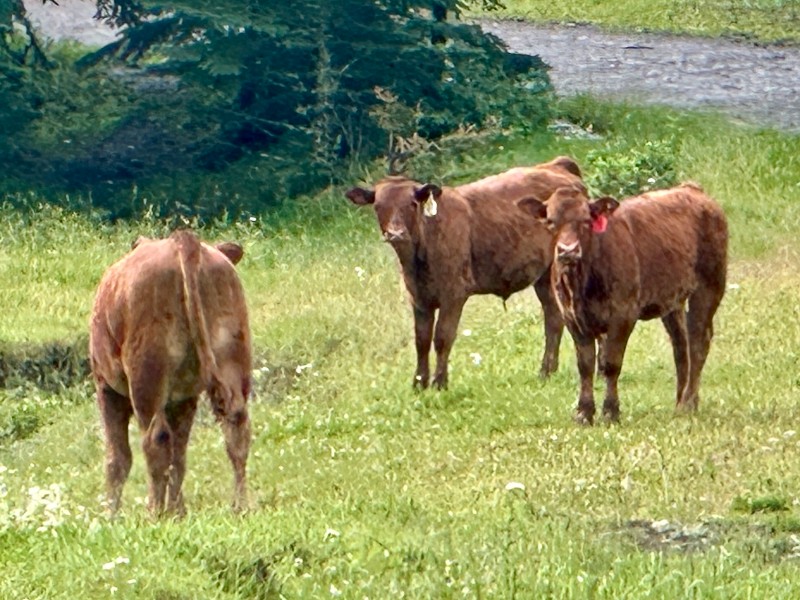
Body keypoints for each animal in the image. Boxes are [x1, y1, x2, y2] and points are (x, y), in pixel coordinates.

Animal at [89, 230, 252, 515]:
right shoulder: (184, 397)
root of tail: (184, 240)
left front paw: (111, 515)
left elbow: (116, 458)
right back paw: (239, 506)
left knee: (155, 439)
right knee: (236, 426)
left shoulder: (105, 387)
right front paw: (178, 511)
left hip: (146, 375)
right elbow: (180, 454)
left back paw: (153, 512)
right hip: (232, 358)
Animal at [345, 156, 584, 389]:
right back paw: (546, 372)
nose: (396, 234)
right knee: (553, 317)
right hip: (543, 277)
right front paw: (419, 383)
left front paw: (439, 383)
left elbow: (442, 337)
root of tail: (556, 166)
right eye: (378, 206)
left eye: (412, 204)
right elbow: (421, 340)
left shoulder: (454, 295)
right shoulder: (419, 298)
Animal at [518, 182, 728, 425]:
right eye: (551, 221)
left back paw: (688, 403)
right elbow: (585, 365)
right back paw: (679, 401)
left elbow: (611, 363)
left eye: (586, 220)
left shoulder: (623, 314)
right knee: (680, 345)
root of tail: (692, 188)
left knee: (698, 343)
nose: (568, 250)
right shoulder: (572, 318)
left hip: (709, 287)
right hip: (672, 300)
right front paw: (584, 412)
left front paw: (610, 411)